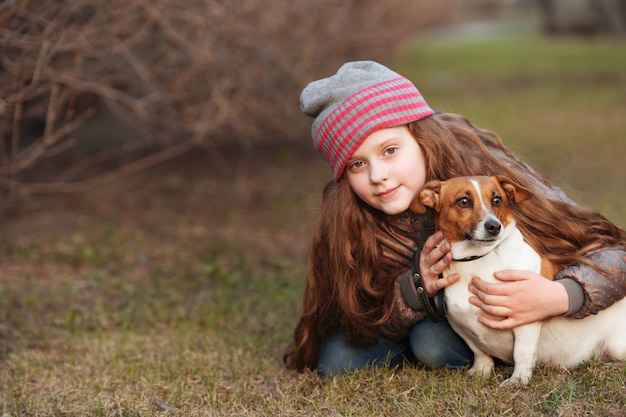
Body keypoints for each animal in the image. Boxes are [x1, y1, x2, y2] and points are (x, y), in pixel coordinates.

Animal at [410, 174, 624, 386]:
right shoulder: (460, 325)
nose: (494, 226)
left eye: (497, 200)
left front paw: (518, 380)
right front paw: (481, 370)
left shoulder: (525, 322)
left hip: (616, 346)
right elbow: (479, 352)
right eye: (463, 201)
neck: (476, 260)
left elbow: (521, 353)